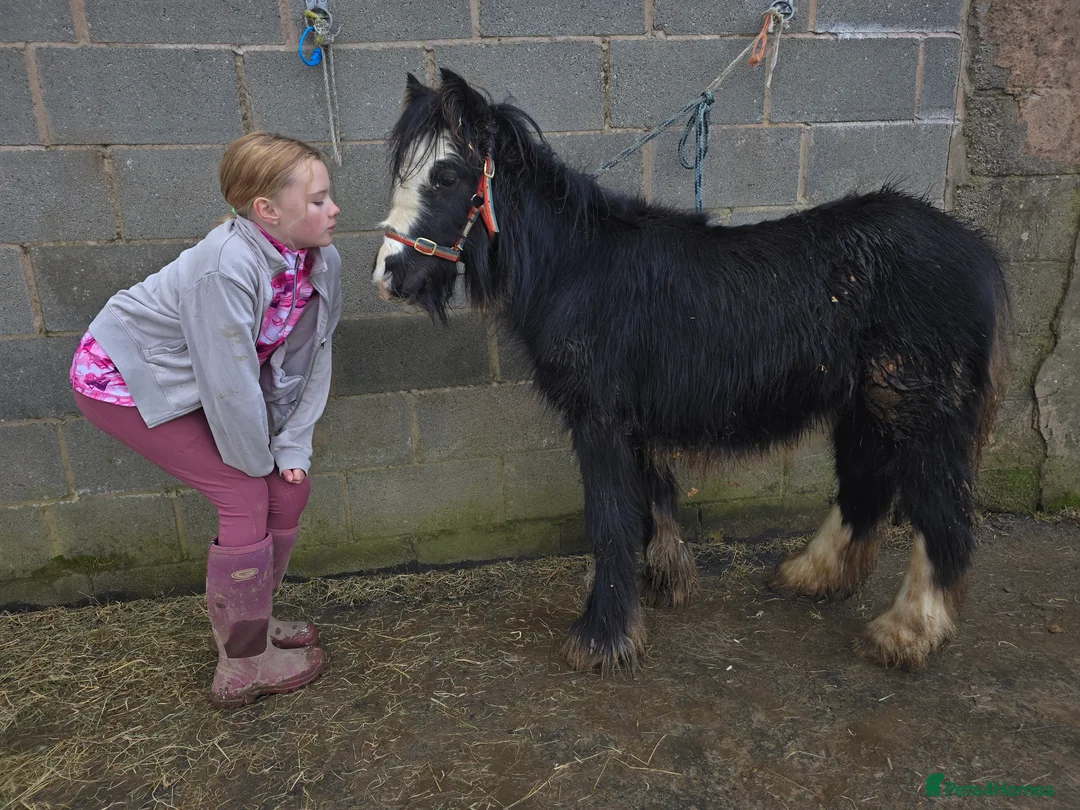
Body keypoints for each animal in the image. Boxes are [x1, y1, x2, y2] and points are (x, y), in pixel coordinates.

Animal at [371, 69, 1008, 675]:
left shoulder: (598, 420)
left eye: (446, 176)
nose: (389, 276)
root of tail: (977, 254)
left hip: (920, 415)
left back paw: (907, 632)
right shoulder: (633, 423)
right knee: (863, 489)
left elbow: (610, 521)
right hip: (867, 409)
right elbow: (652, 504)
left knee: (941, 517)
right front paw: (662, 587)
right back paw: (811, 575)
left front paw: (603, 638)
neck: (577, 270)